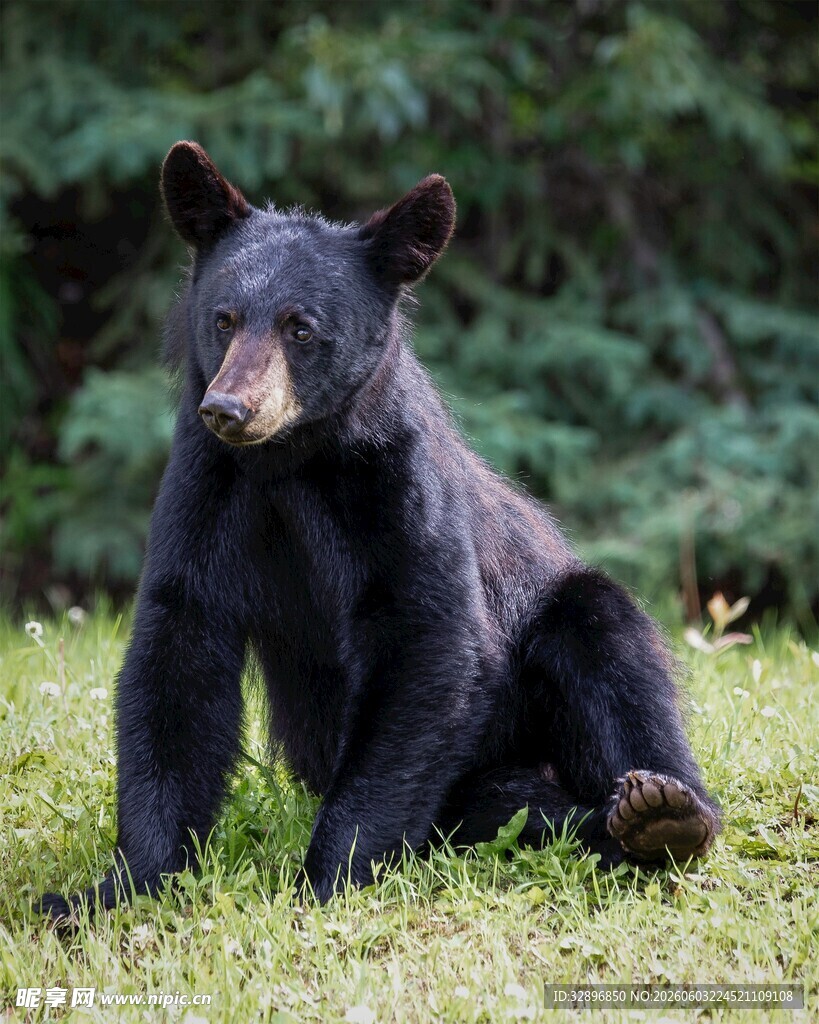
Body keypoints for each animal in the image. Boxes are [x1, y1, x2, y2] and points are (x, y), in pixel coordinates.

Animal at [40, 141, 721, 922]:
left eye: (301, 328)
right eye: (224, 318)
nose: (229, 408)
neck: (292, 462)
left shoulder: (397, 487)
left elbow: (424, 638)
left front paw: (327, 878)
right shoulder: (205, 488)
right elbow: (178, 651)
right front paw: (120, 887)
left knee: (607, 648)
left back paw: (661, 813)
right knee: (507, 810)